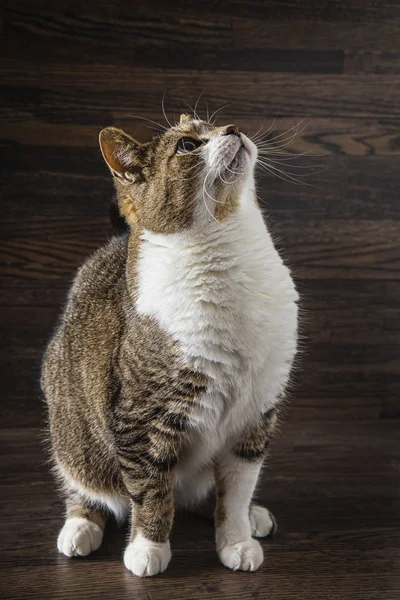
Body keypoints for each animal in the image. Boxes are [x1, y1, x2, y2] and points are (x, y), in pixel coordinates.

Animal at [42, 112, 298, 576]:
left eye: (214, 125)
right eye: (188, 146)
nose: (233, 129)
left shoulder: (256, 412)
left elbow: (237, 490)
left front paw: (237, 540)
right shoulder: (141, 418)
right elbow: (150, 490)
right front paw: (147, 548)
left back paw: (251, 516)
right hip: (71, 429)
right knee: (83, 485)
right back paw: (79, 528)